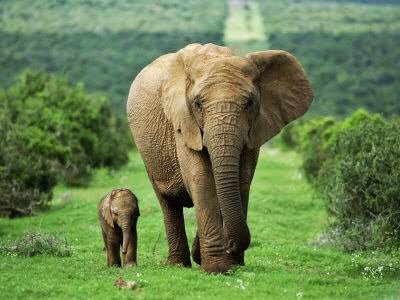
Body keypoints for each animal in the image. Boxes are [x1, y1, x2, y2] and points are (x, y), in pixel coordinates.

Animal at [127, 42, 312, 274]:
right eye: (197, 104)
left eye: (250, 103)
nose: (230, 245)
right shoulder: (183, 123)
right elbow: (201, 179)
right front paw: (216, 269)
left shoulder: (255, 129)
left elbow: (242, 179)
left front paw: (232, 264)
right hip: (148, 153)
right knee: (168, 203)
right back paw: (178, 264)